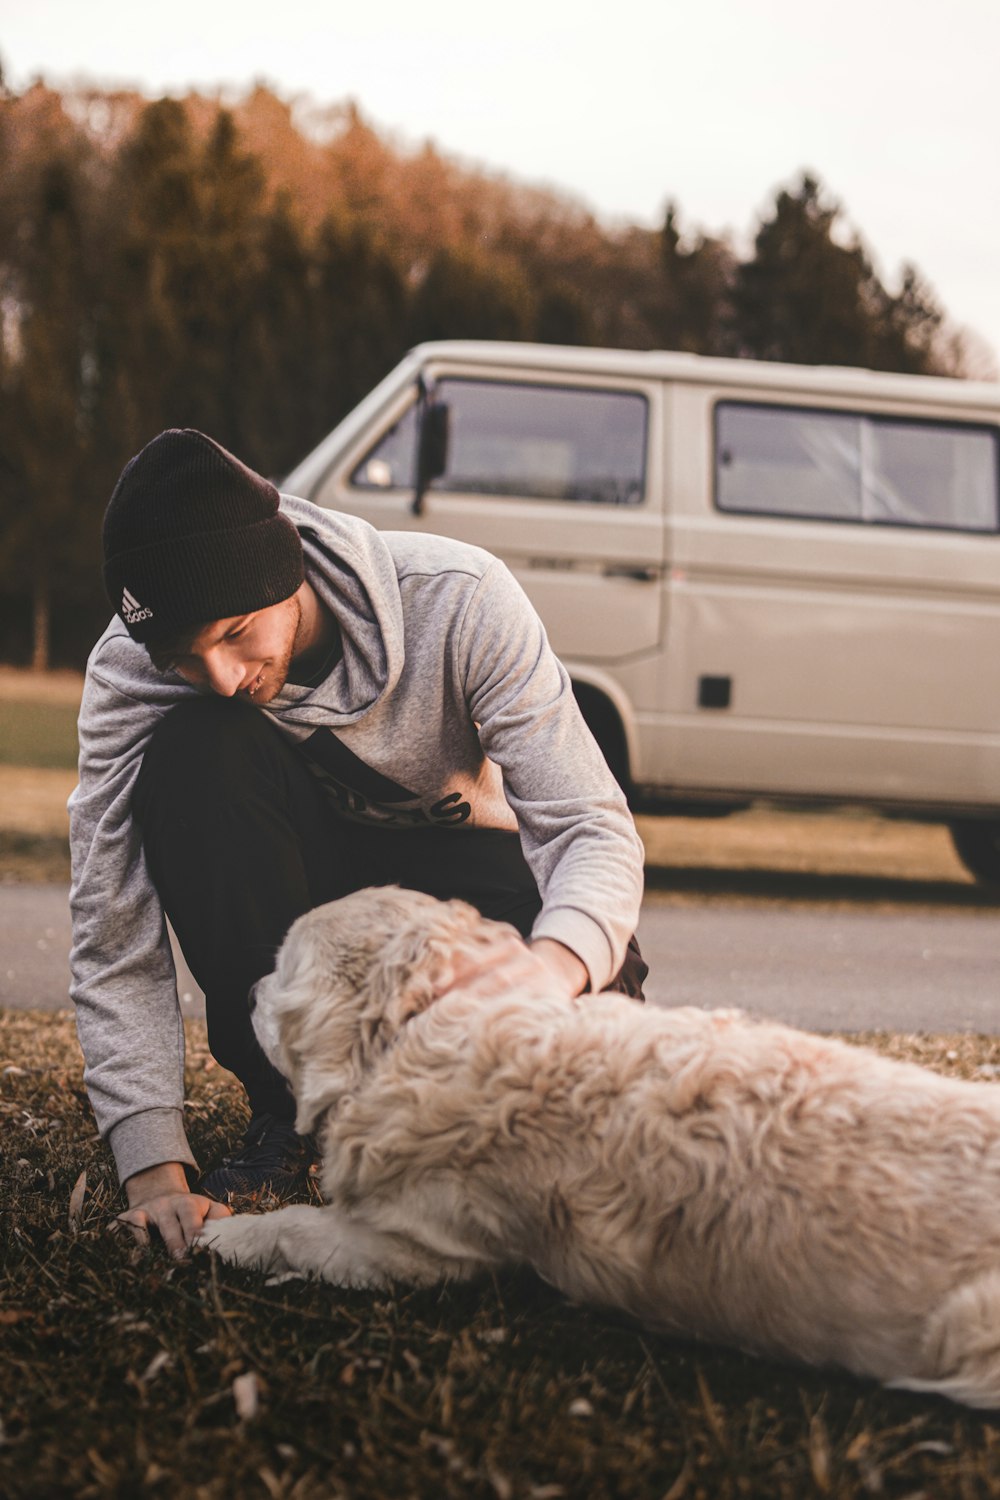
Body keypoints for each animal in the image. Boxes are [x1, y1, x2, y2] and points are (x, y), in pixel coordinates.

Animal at [199, 882, 1000, 1398]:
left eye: (281, 967)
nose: (245, 993)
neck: (433, 1021)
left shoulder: (420, 1246)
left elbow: (297, 1227)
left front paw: (225, 1237)